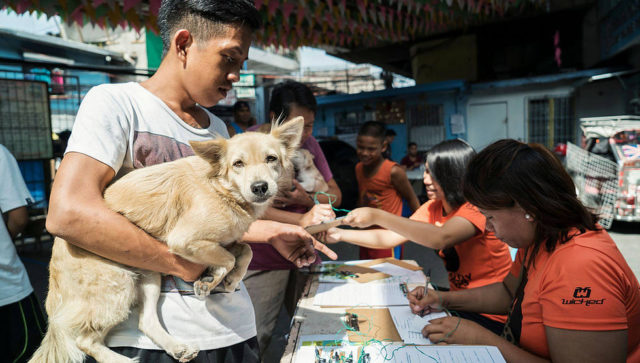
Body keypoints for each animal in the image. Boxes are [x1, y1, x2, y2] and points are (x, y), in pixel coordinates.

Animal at [31, 118, 306, 362]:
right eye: (238, 164)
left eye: (271, 159)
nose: (260, 187)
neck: (221, 188)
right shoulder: (185, 240)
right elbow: (228, 258)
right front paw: (213, 278)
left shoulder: (225, 240)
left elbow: (246, 250)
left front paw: (231, 279)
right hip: (118, 286)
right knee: (85, 341)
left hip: (150, 275)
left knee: (146, 322)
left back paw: (177, 348)